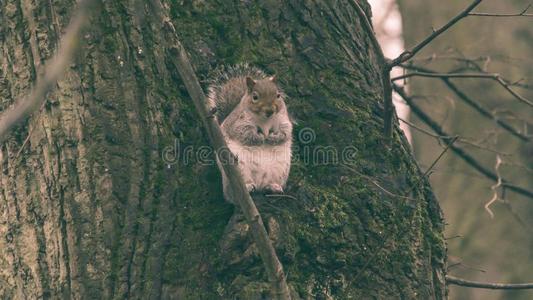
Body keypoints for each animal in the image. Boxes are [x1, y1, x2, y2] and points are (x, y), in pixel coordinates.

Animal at [207, 63, 290, 204]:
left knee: (267, 186)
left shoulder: (283, 119)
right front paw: (260, 138)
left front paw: (272, 138)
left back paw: (273, 187)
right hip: (238, 168)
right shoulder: (238, 122)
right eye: (255, 97)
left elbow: (286, 132)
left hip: (280, 170)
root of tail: (259, 183)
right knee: (232, 195)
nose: (270, 110)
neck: (265, 120)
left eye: (278, 95)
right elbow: (243, 133)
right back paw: (247, 187)